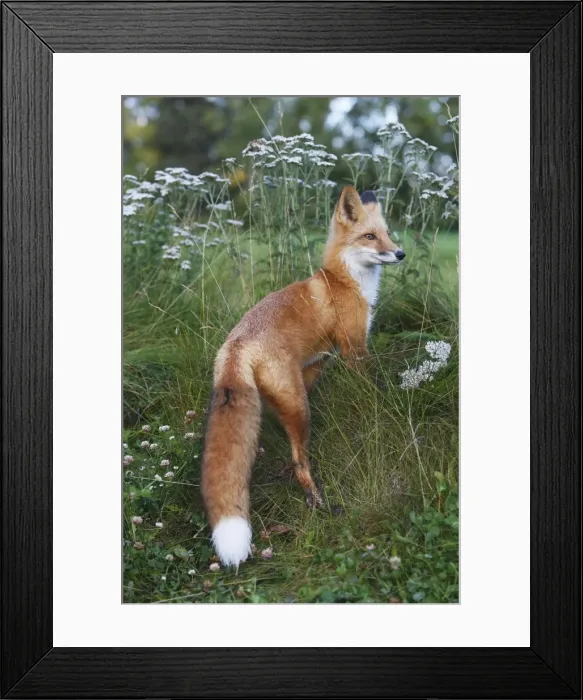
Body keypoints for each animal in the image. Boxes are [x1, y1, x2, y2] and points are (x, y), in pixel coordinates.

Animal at [201, 185, 405, 567]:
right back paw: (317, 501)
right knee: (299, 460)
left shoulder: (316, 362)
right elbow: (371, 386)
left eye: (387, 233)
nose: (400, 253)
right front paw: (381, 406)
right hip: (299, 407)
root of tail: (236, 344)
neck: (344, 279)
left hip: (289, 398)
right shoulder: (354, 348)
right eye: (369, 237)